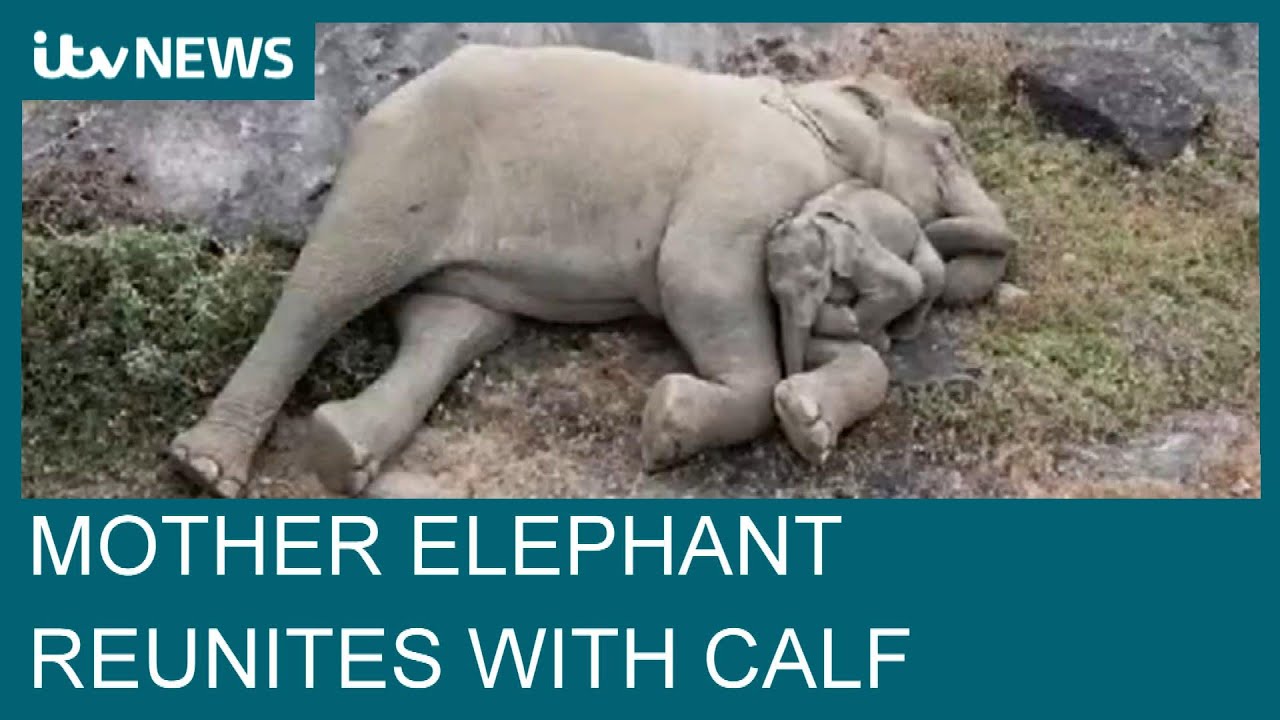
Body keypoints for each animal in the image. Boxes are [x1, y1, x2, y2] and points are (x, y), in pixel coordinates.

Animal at [165, 44, 1015, 498]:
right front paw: (670, 426)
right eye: (947, 143)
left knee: (453, 326)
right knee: (329, 285)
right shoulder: (752, 168)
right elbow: (696, 273)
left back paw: (341, 450)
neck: (811, 100)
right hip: (407, 166)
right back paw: (207, 469)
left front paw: (806, 412)